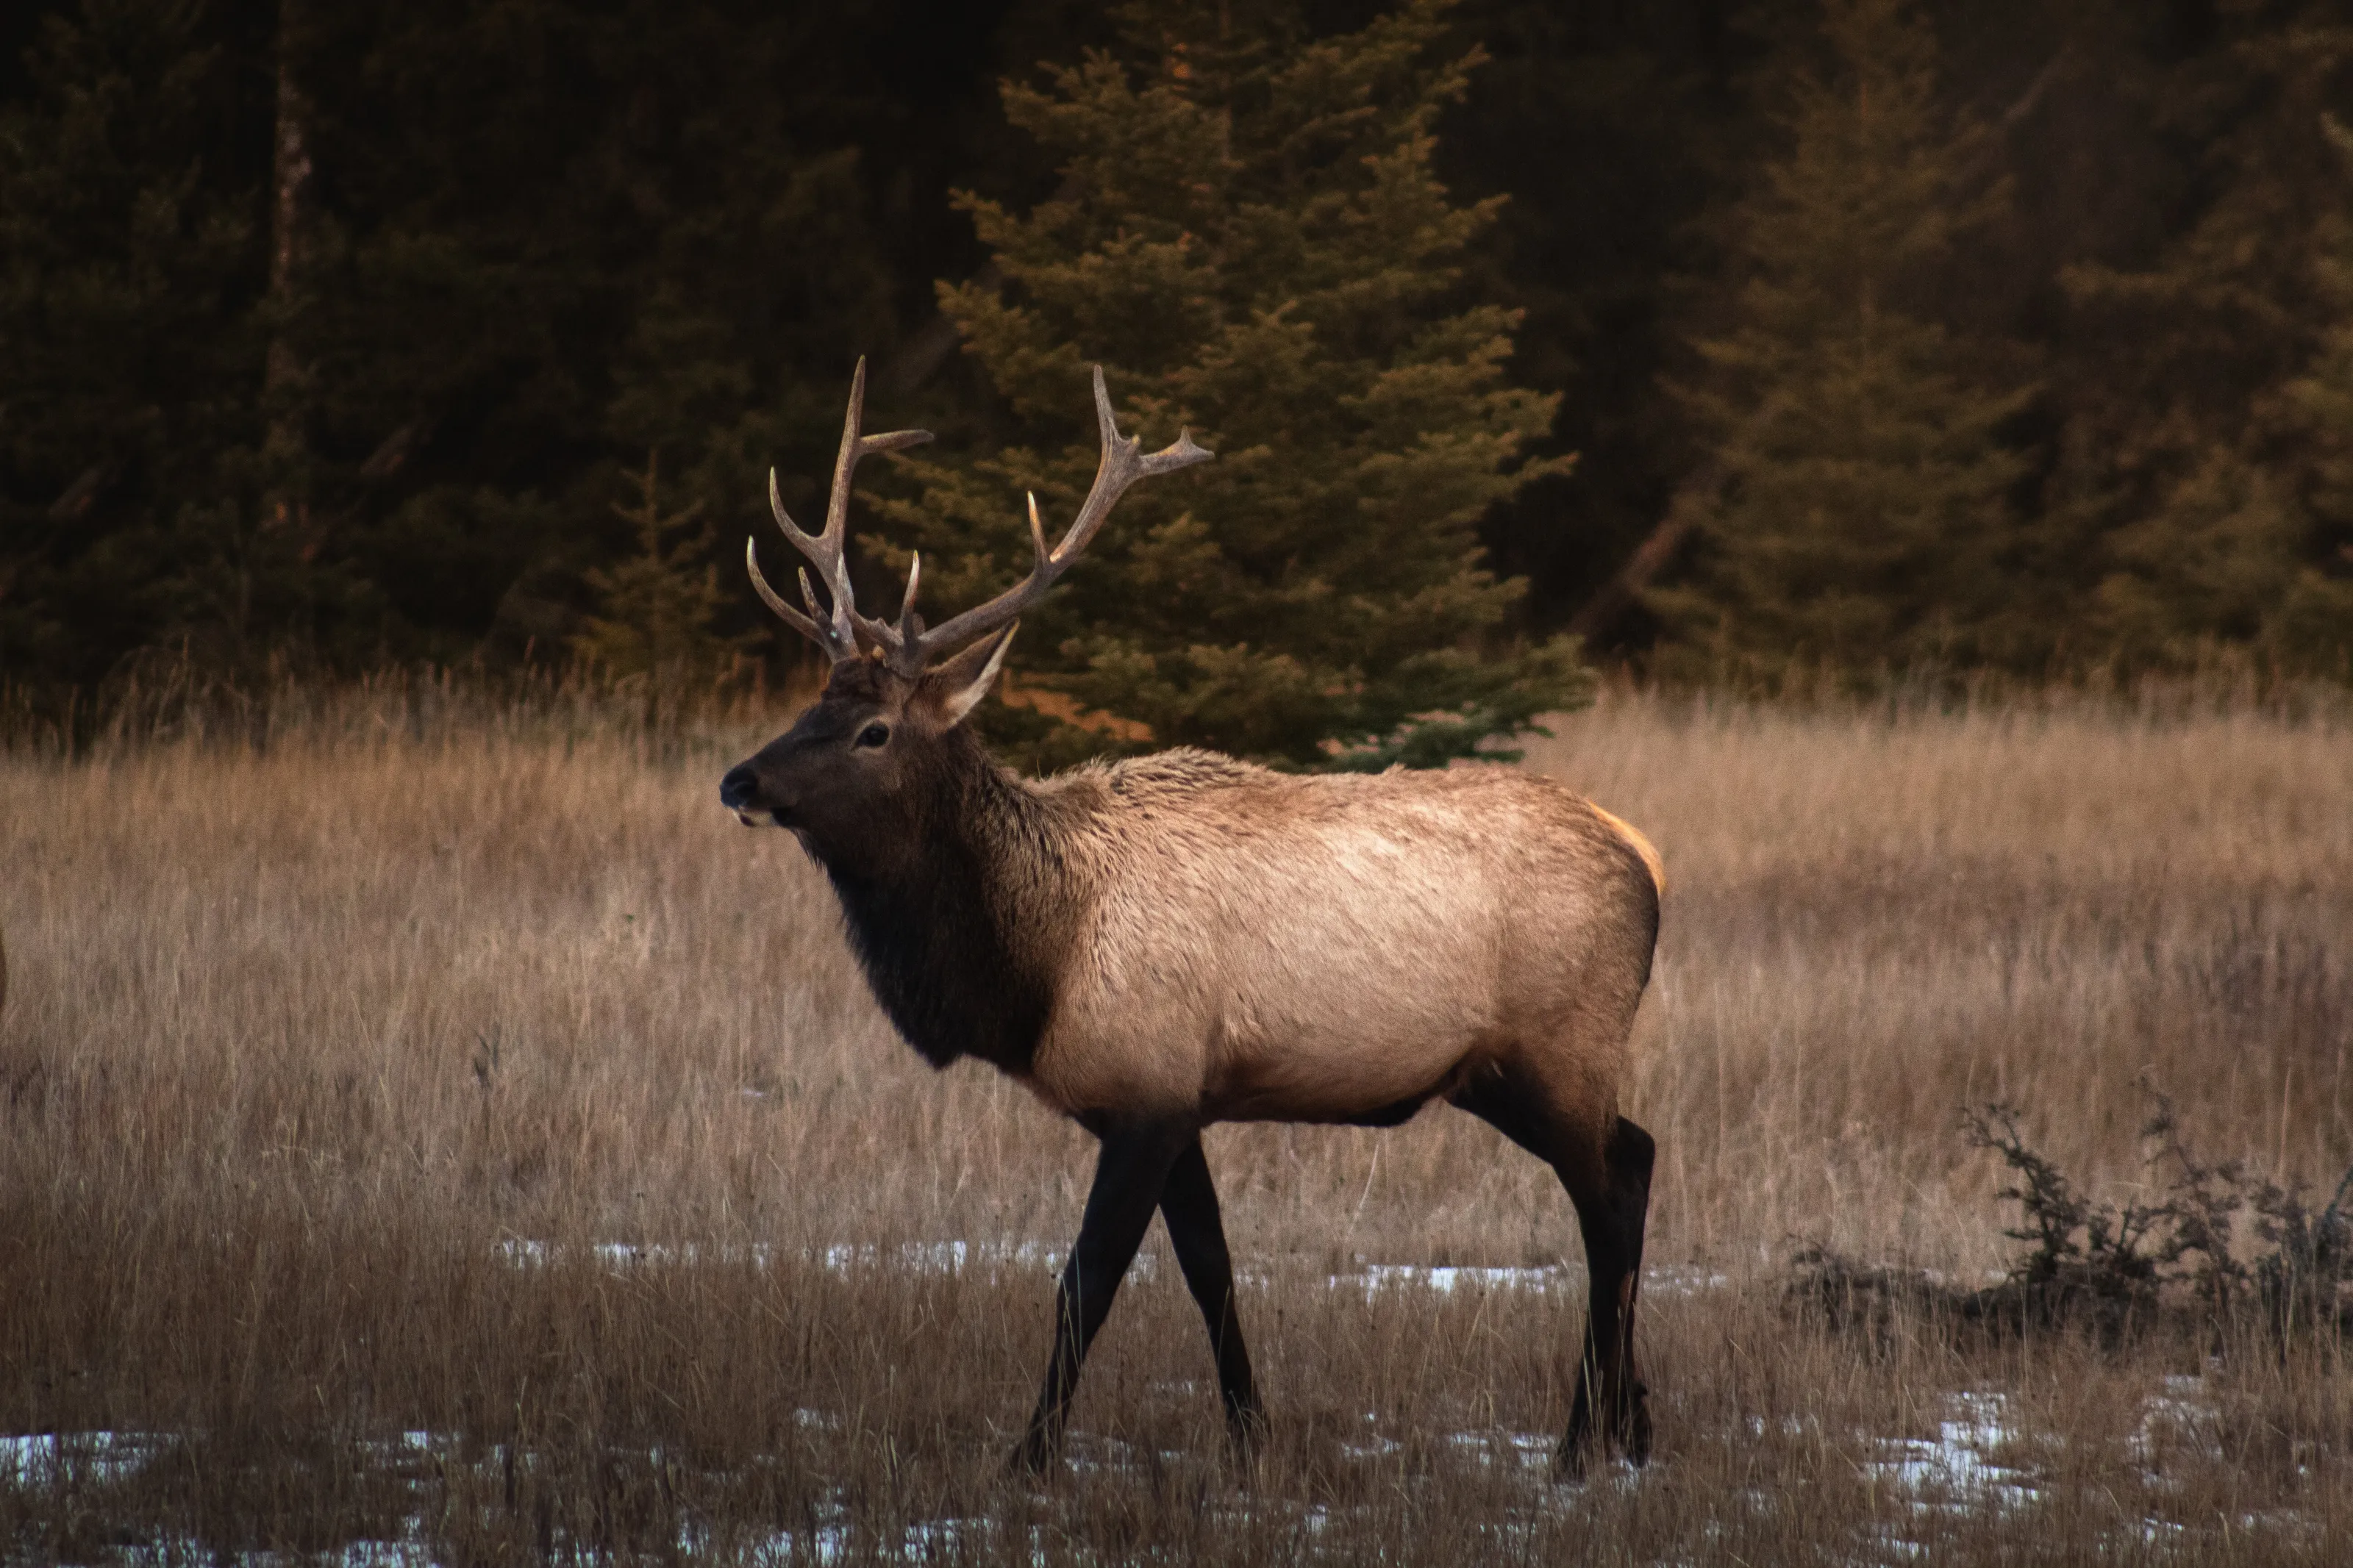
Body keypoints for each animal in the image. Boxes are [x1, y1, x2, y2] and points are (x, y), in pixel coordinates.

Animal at [719, 361, 1664, 1475]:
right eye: (811, 704)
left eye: (872, 730)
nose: (740, 780)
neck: (1036, 965)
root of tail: (1644, 859)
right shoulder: (1180, 1100)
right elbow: (1211, 1268)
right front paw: (1251, 1436)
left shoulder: (1147, 1090)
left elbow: (1085, 1284)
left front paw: (1030, 1457)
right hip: (1491, 1072)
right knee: (1636, 1160)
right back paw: (1632, 1428)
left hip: (1562, 1040)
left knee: (1611, 1197)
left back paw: (1578, 1443)